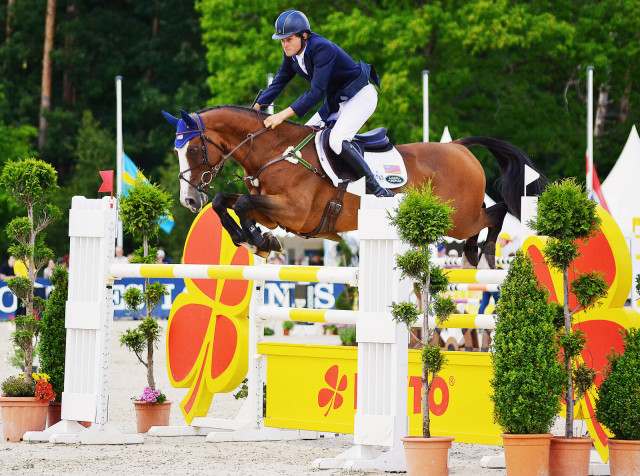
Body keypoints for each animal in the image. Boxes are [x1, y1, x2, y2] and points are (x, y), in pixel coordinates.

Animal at [161, 106, 544, 268]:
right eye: (176, 150)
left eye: (192, 149)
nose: (189, 199)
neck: (275, 153)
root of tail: (460, 147)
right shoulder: (273, 211)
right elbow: (225, 202)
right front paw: (256, 239)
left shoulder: (295, 212)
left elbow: (239, 205)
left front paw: (256, 240)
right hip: (455, 217)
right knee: (486, 218)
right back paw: (472, 255)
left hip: (457, 218)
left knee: (495, 213)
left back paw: (486, 254)